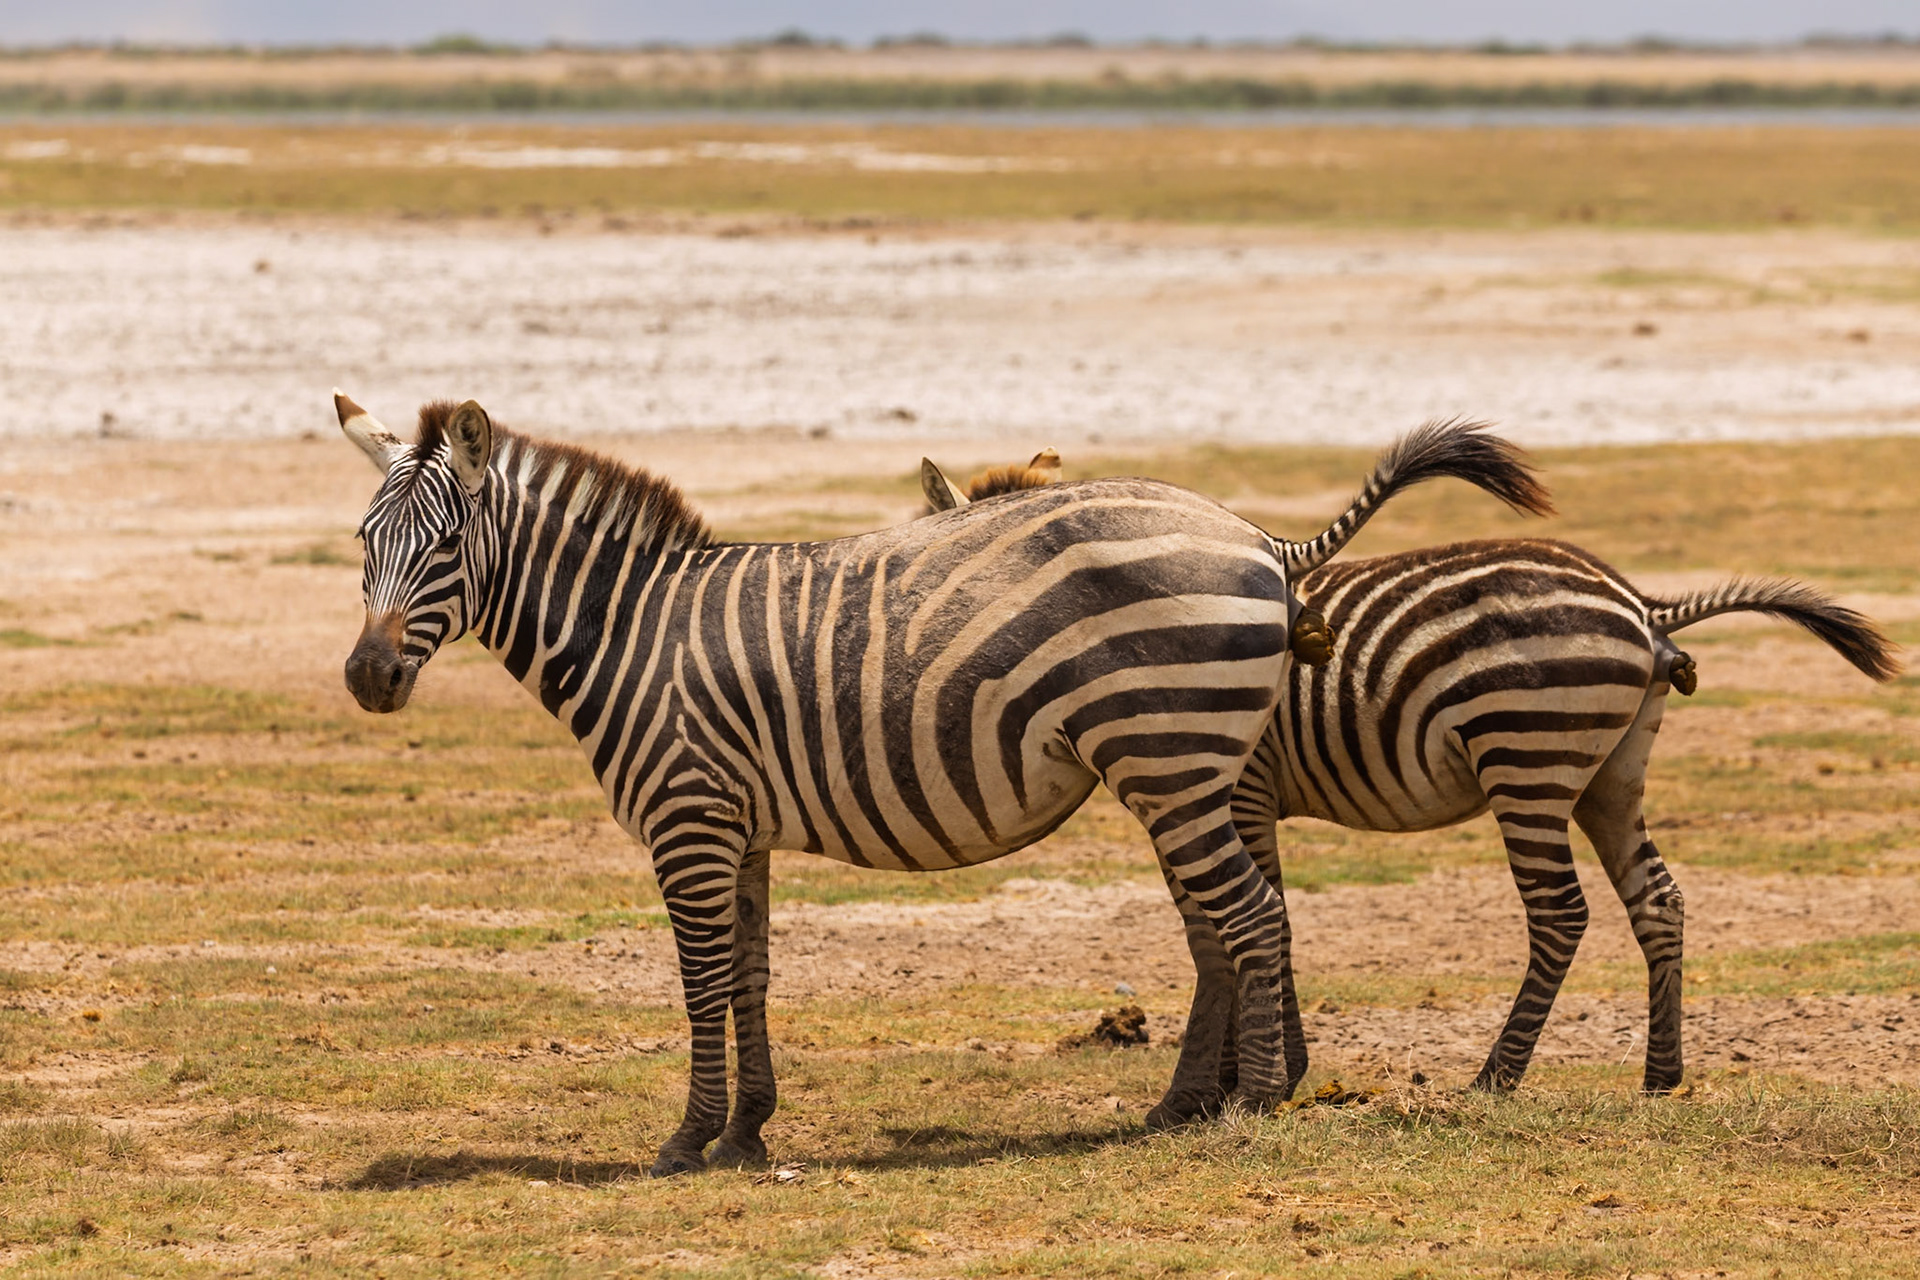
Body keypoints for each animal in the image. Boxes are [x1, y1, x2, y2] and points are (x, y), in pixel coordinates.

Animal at [335, 391, 1544, 1174]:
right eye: (361, 540)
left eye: (442, 546)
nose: (366, 677)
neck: (634, 630)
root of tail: (1259, 539)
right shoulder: (741, 826)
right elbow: (750, 975)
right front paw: (748, 1130)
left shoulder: (688, 818)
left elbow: (698, 979)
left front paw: (686, 1137)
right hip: (1185, 768)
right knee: (1235, 920)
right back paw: (1210, 1099)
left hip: (1171, 758)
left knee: (1249, 917)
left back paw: (1247, 1106)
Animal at [925, 457, 1900, 1123]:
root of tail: (1642, 607)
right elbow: (1265, 912)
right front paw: (1266, 1070)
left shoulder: (1239, 789)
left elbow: (1259, 913)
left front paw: (1261, 1075)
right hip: (1612, 775)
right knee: (1658, 900)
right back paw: (1661, 1076)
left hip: (1528, 756)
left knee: (1562, 914)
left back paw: (1496, 1076)